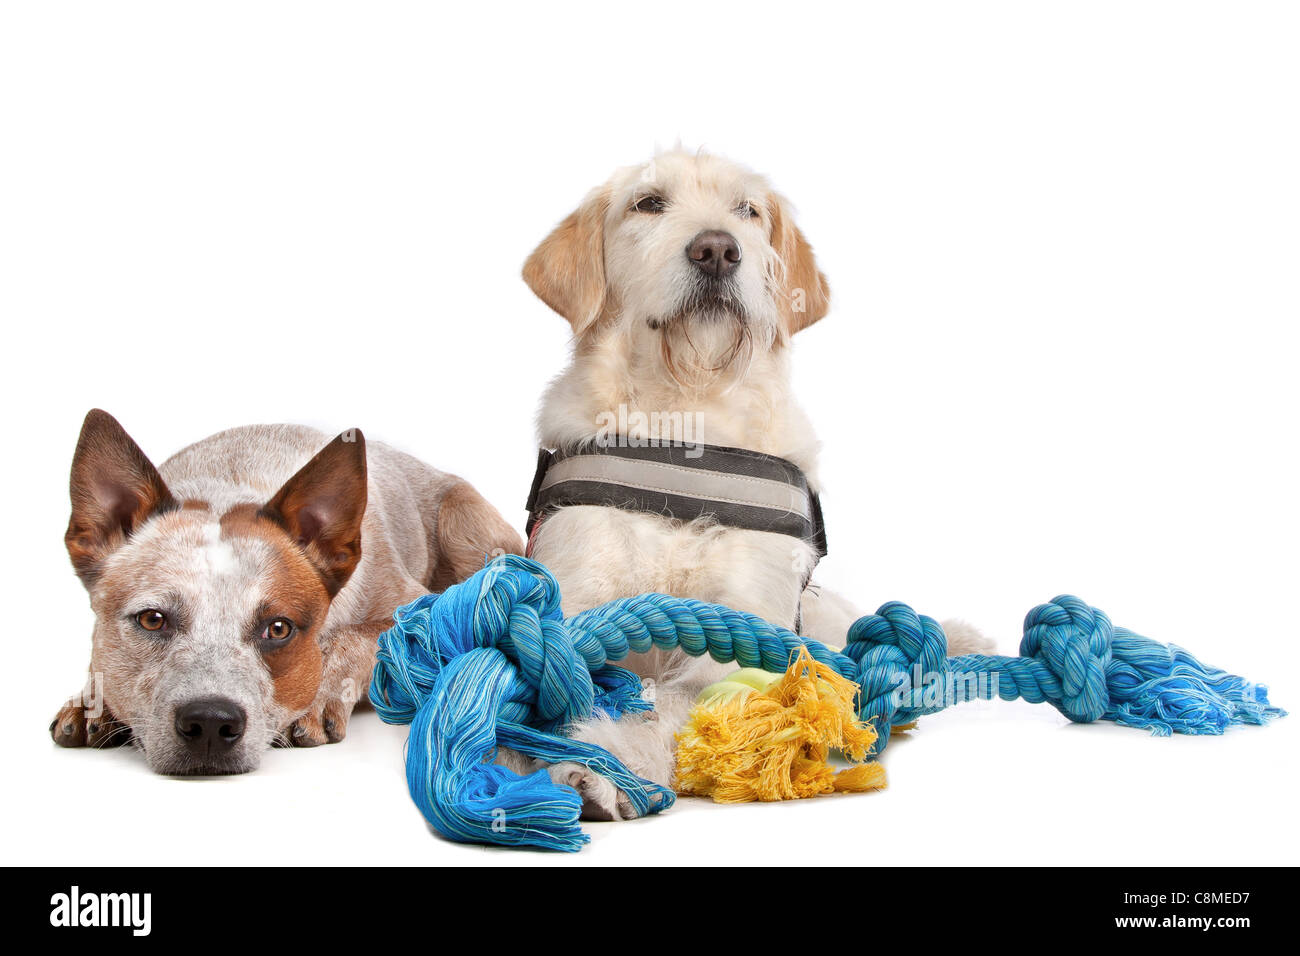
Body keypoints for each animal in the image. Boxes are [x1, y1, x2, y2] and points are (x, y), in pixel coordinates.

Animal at [52, 411, 517, 780]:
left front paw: (318, 697)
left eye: (278, 629)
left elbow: (354, 639)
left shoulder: (418, 610)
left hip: (463, 522)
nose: (209, 723)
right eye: (152, 619)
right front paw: (95, 701)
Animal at [517, 149, 982, 816]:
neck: (686, 424)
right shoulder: (577, 598)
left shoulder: (740, 629)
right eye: (648, 203)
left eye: (748, 210)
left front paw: (610, 762)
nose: (717, 250)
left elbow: (678, 703)